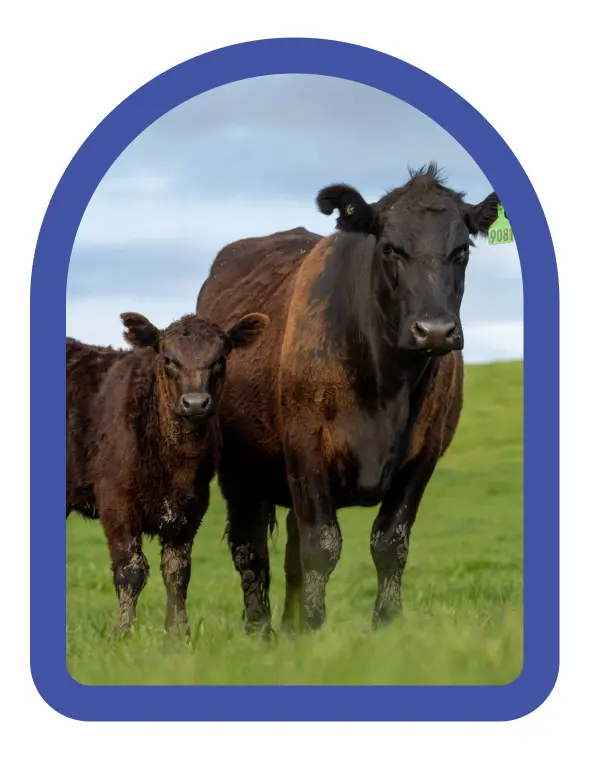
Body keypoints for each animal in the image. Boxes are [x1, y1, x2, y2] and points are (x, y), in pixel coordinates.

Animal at [66, 309, 269, 635]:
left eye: (220, 359)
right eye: (168, 359)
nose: (196, 402)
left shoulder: (193, 504)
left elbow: (177, 570)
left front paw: (178, 632)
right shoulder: (115, 501)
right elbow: (130, 569)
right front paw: (123, 632)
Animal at [195, 163, 500, 635]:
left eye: (461, 251)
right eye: (390, 248)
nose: (434, 330)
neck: (386, 387)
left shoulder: (424, 454)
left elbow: (390, 542)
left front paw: (384, 626)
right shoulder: (305, 448)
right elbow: (323, 544)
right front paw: (313, 628)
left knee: (290, 550)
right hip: (237, 469)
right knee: (250, 548)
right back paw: (260, 631)